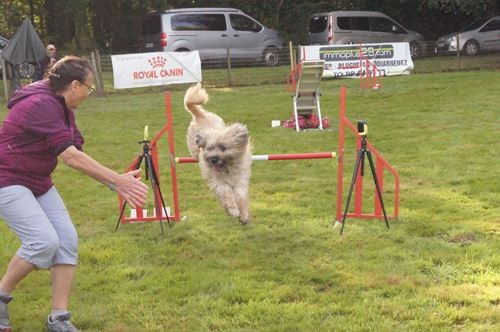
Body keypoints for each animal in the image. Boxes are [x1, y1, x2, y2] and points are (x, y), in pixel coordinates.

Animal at [184, 83, 252, 224]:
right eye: (209, 148)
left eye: (223, 148)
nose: (214, 159)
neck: (227, 167)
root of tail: (201, 115)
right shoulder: (218, 182)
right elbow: (226, 193)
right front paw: (234, 210)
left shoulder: (240, 181)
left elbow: (241, 197)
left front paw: (243, 215)